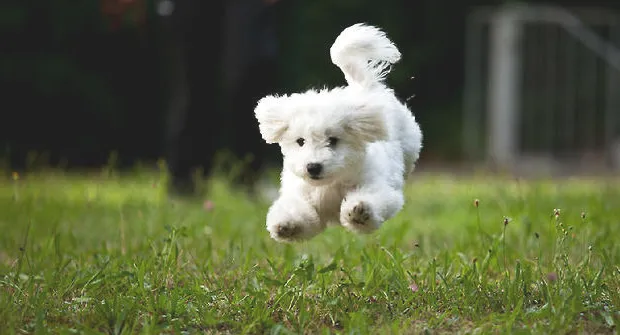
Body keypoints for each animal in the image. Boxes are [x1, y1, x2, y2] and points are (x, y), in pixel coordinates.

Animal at [252, 24, 422, 244]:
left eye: (333, 140)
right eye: (300, 141)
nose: (313, 167)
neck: (330, 184)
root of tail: (364, 87)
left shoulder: (378, 188)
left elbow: (373, 200)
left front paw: (360, 211)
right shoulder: (303, 196)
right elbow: (301, 215)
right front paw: (286, 224)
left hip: (410, 143)